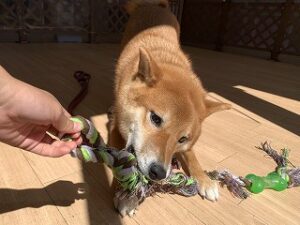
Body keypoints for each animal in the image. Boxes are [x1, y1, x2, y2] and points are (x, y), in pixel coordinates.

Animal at [109, 0, 231, 206]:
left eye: (182, 139)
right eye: (156, 119)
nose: (158, 173)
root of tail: (152, 5)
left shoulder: (186, 147)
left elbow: (191, 154)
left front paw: (204, 179)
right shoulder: (115, 127)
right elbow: (121, 161)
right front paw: (124, 194)